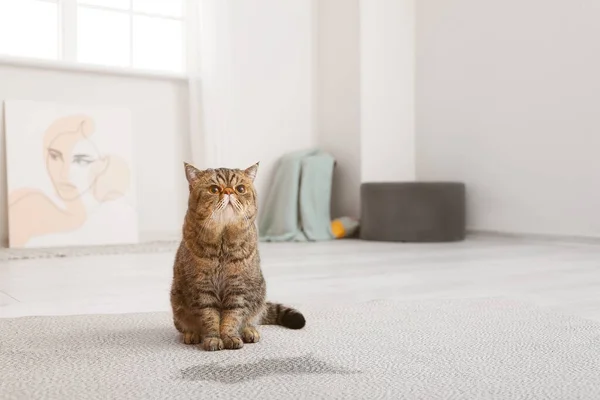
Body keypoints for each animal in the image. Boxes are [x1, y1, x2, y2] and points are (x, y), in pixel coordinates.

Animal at [171, 162, 308, 350]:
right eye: (214, 189)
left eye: (240, 188)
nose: (229, 191)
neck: (222, 244)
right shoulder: (203, 288)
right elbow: (209, 317)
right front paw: (213, 338)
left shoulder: (238, 288)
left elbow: (232, 317)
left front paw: (230, 336)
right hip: (177, 303)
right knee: (184, 326)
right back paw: (192, 334)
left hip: (258, 296)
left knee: (251, 319)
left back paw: (249, 331)